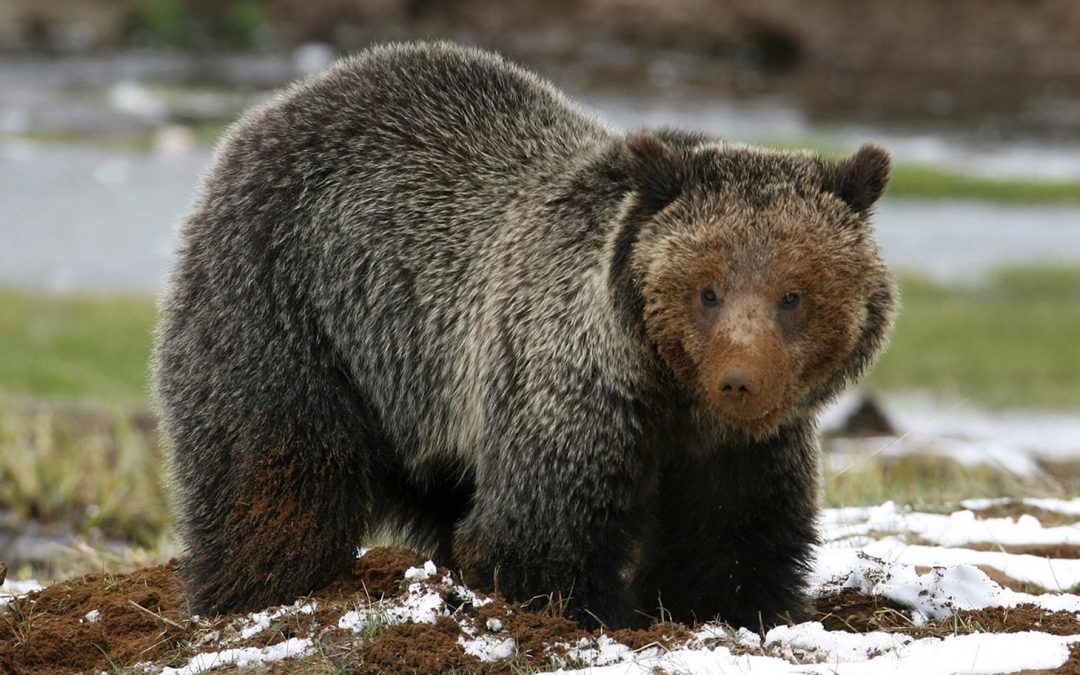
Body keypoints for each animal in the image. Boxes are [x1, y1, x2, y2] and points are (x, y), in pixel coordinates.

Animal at [153, 41, 896, 630]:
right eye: (706, 289)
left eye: (793, 294)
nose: (740, 380)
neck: (671, 392)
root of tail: (274, 108)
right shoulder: (570, 387)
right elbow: (539, 530)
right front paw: (595, 611)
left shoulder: (742, 448)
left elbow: (732, 539)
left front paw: (734, 606)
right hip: (288, 308)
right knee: (272, 474)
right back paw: (256, 590)